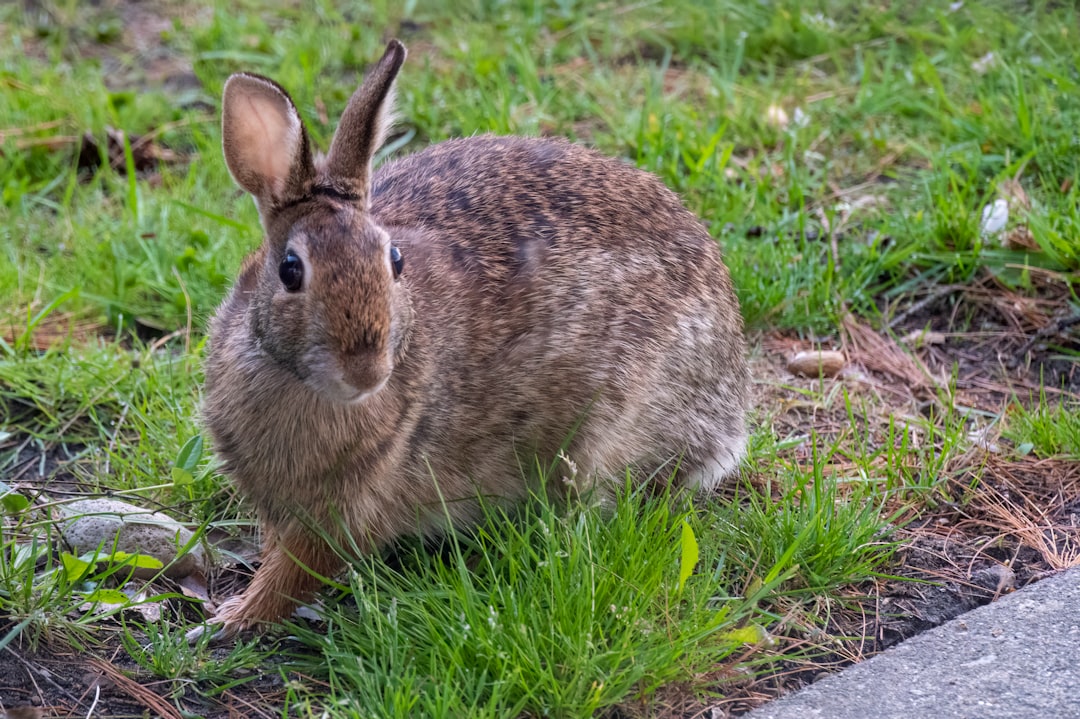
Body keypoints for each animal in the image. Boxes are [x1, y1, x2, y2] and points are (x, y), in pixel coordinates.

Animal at [194, 39, 749, 640]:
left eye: (394, 261)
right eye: (290, 271)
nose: (367, 370)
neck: (298, 383)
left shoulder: (349, 507)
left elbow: (295, 573)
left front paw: (229, 620)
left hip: (609, 431)